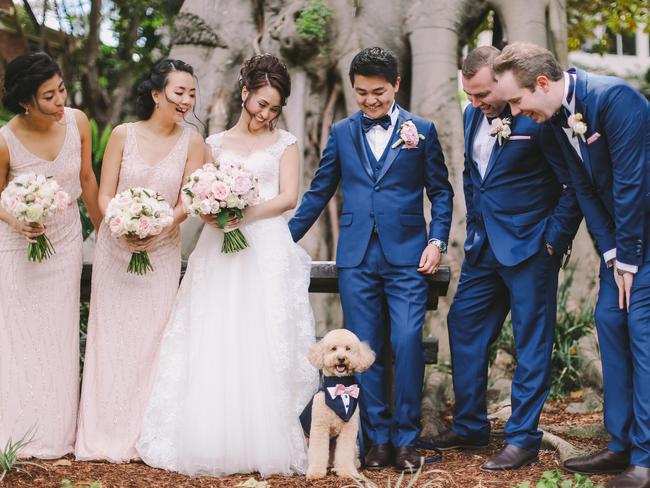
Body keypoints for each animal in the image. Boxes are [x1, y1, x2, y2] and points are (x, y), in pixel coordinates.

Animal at [302, 330, 374, 478]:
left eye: (348, 349)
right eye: (333, 349)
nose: (341, 358)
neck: (340, 386)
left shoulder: (349, 429)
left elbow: (345, 452)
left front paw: (346, 471)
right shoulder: (319, 427)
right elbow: (318, 451)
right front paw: (315, 472)